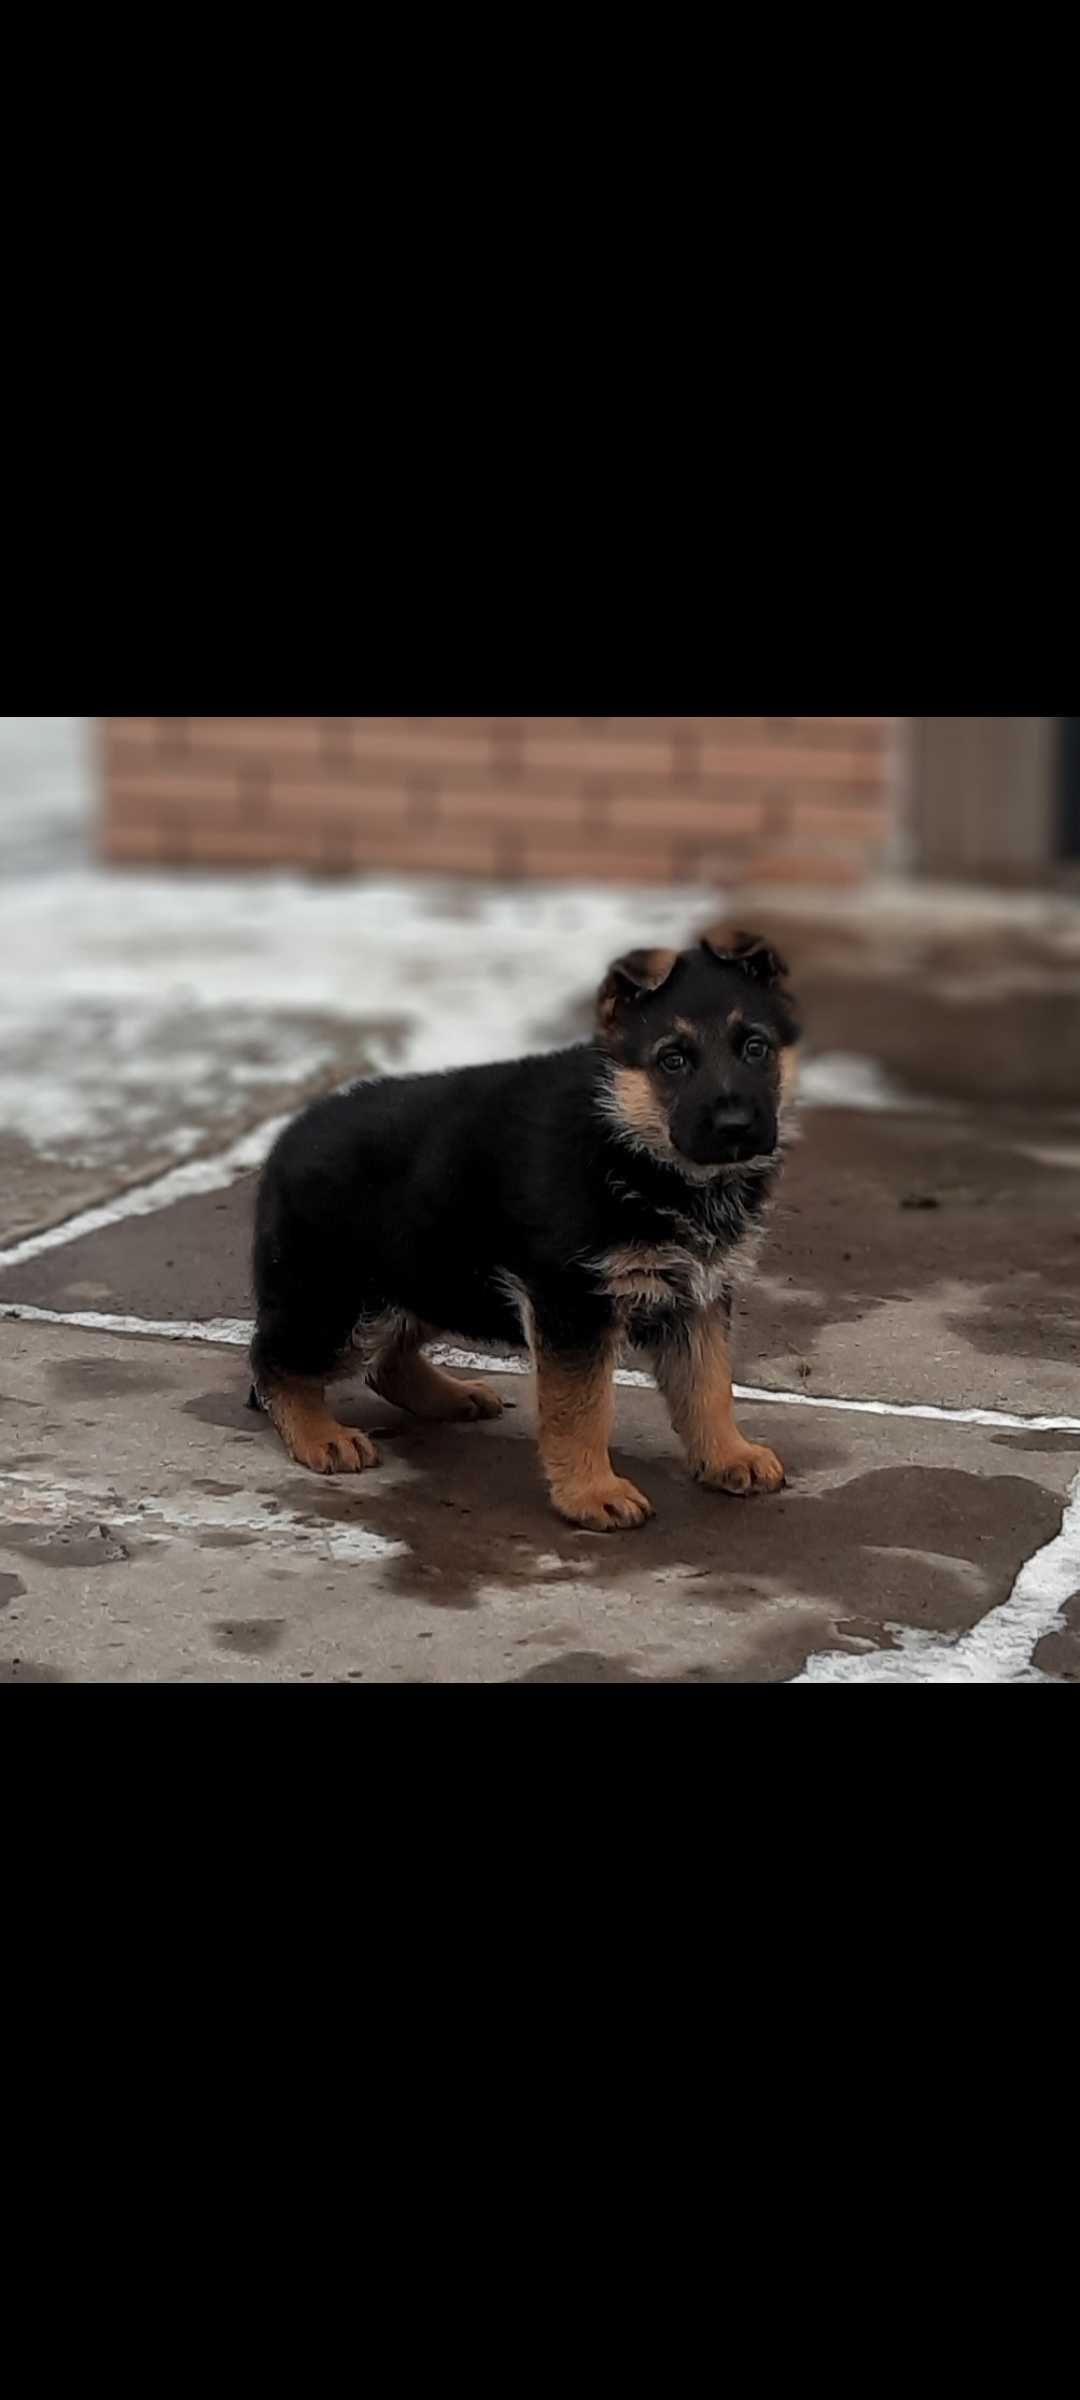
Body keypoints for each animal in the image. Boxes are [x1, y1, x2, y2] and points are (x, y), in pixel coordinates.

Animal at [248, 926, 796, 1526]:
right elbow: (582, 1406)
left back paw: (449, 1397)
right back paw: (320, 1436)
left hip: (429, 1279)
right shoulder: (573, 1303)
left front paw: (728, 1455)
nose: (736, 1126)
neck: (633, 1147)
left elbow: (709, 1384)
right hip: (337, 1302)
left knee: (384, 1362)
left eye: (756, 1048)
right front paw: (591, 1492)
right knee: (273, 1361)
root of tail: (285, 1140)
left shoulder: (699, 1296)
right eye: (672, 1060)